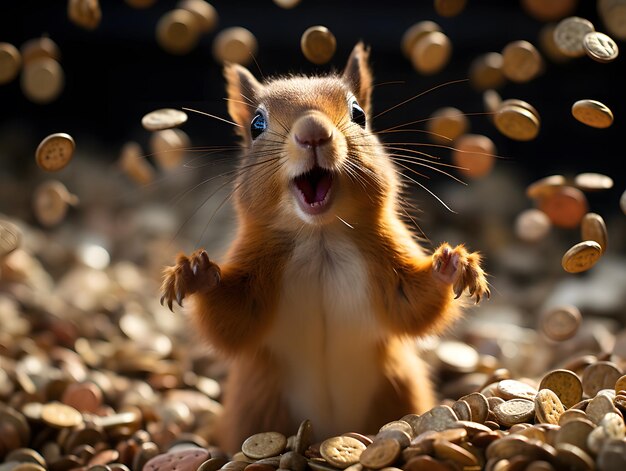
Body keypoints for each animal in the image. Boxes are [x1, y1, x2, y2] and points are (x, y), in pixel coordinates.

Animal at [160, 41, 488, 454]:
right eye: (256, 125)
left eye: (359, 114)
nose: (313, 133)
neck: (320, 240)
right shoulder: (255, 277)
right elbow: (232, 321)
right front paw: (194, 273)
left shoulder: (387, 263)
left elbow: (414, 306)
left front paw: (454, 265)